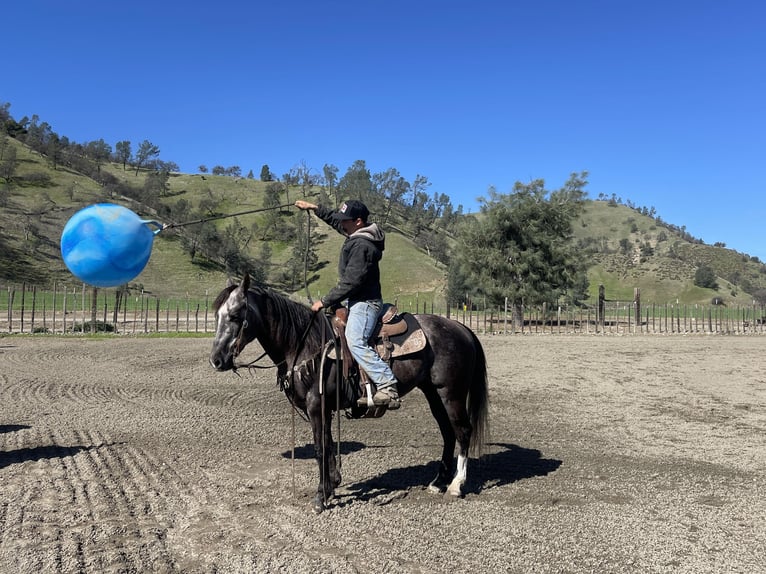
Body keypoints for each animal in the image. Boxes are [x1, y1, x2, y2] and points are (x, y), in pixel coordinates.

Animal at [207, 276, 488, 516]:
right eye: (217, 315)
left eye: (235, 315)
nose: (216, 360)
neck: (305, 343)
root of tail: (460, 327)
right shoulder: (324, 408)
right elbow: (329, 444)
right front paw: (332, 486)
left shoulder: (316, 405)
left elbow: (320, 448)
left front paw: (321, 497)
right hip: (433, 393)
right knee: (448, 432)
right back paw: (438, 482)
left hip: (451, 392)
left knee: (463, 431)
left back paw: (456, 485)